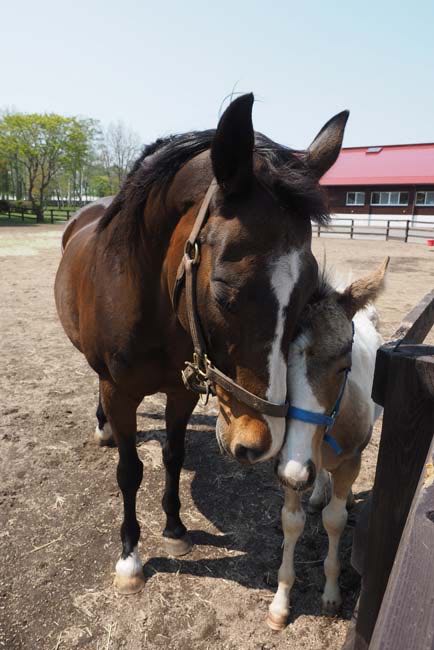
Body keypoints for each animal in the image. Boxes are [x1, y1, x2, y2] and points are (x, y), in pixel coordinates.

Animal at [54, 93, 349, 596]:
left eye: (309, 292)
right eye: (225, 290)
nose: (261, 443)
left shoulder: (182, 390)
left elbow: (174, 457)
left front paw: (174, 529)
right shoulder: (119, 391)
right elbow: (130, 472)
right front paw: (130, 556)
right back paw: (103, 428)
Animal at [267, 257, 389, 630]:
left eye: (344, 366)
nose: (296, 472)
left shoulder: (350, 461)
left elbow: (334, 521)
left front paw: (332, 595)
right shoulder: (287, 466)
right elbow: (291, 522)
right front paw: (280, 604)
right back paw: (319, 491)